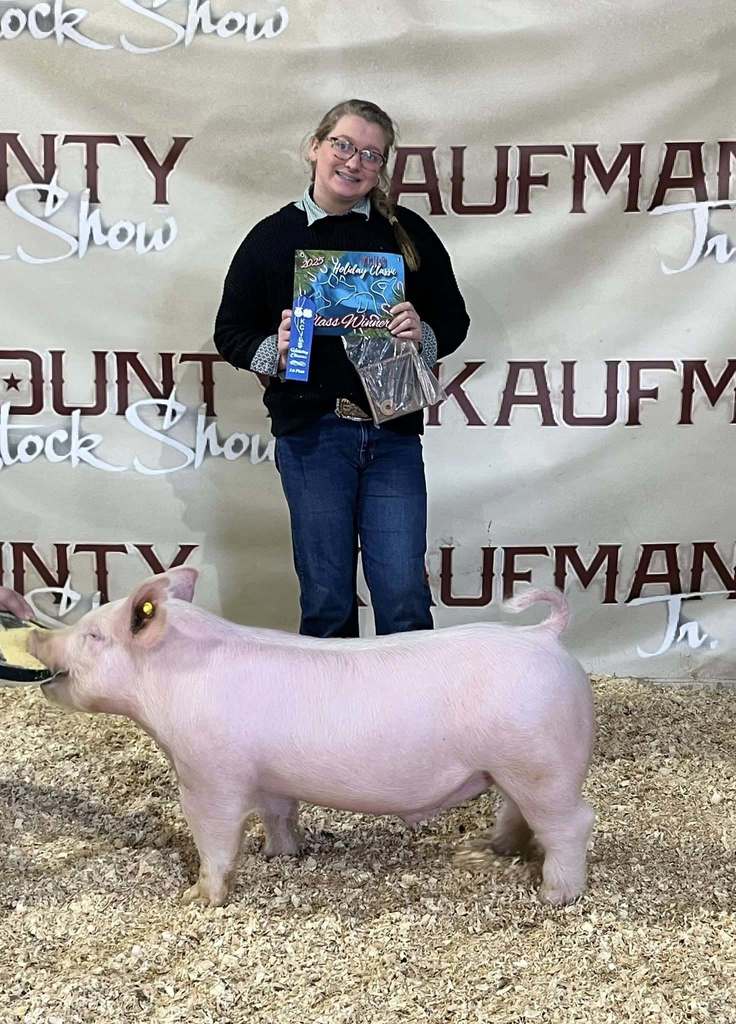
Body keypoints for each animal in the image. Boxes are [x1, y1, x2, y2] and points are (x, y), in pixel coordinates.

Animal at [29, 568, 595, 908]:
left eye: (94, 635)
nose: (37, 636)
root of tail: (543, 636)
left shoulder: (208, 775)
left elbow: (213, 836)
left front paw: (198, 898)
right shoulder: (270, 778)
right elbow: (278, 813)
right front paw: (279, 856)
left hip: (541, 763)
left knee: (570, 823)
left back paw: (554, 896)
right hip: (515, 766)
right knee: (520, 816)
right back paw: (488, 850)